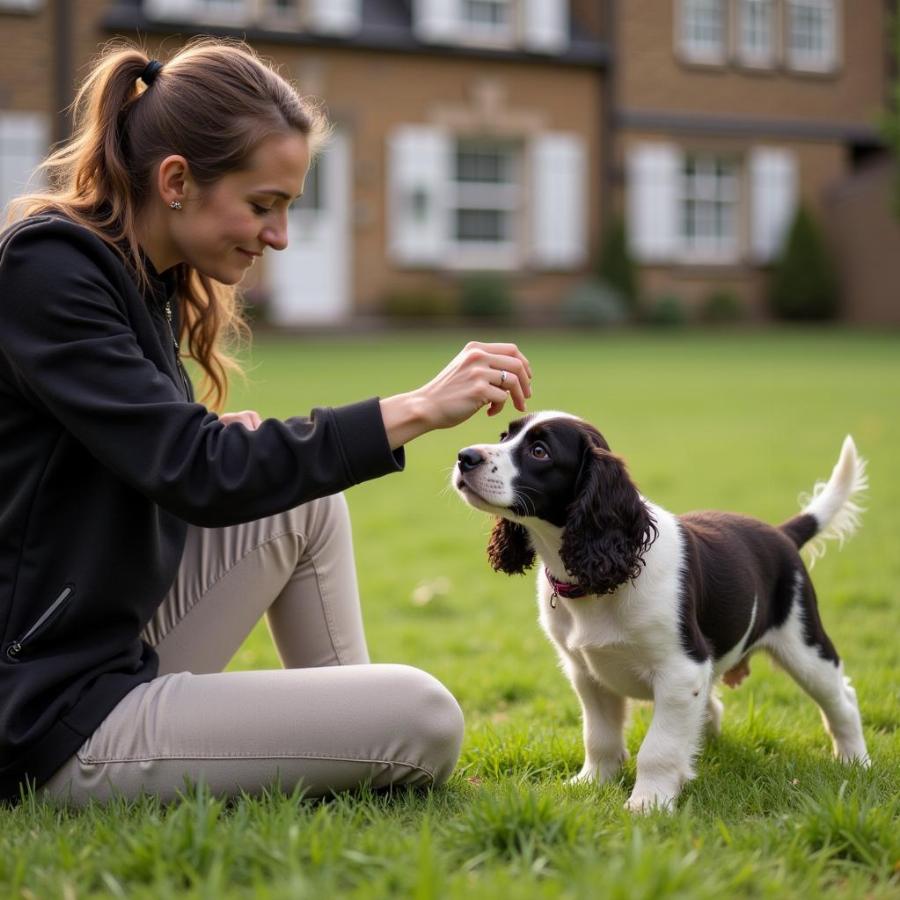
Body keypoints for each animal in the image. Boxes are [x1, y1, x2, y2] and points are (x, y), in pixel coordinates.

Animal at [454, 412, 868, 812]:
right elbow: (599, 736)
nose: (465, 457)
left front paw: (649, 802)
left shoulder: (681, 671)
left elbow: (659, 747)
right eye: (505, 435)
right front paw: (593, 782)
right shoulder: (586, 673)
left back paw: (855, 762)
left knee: (841, 699)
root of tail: (781, 534)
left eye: (539, 452)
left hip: (804, 645)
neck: (597, 580)